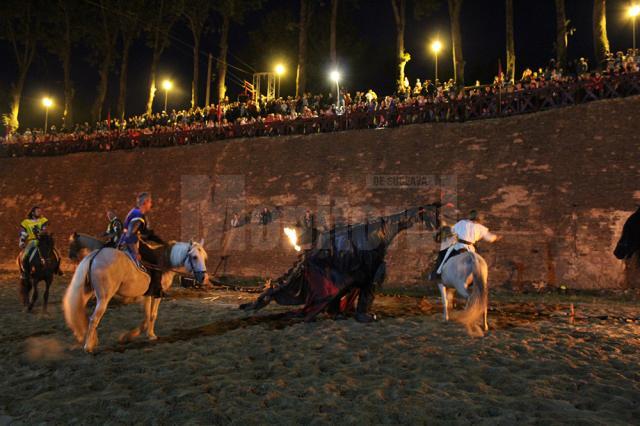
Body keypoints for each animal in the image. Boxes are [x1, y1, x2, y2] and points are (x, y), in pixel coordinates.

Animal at [63, 240, 208, 352]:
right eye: (194, 257)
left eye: (204, 257)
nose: (203, 277)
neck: (163, 262)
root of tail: (96, 255)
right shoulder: (156, 294)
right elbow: (152, 315)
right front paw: (148, 335)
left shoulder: (147, 295)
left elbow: (147, 316)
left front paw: (137, 334)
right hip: (104, 298)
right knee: (94, 319)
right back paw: (88, 346)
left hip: (87, 293)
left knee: (82, 313)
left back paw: (90, 339)